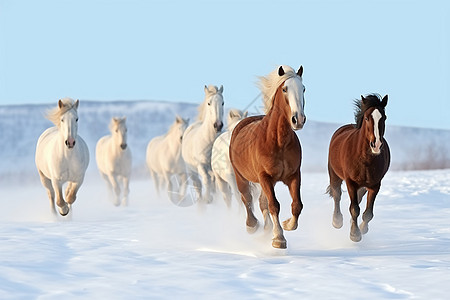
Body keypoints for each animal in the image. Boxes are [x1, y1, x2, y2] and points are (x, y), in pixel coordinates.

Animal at [230, 65, 308, 248]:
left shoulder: (294, 176)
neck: (278, 141)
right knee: (247, 198)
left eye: (303, 89)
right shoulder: (264, 177)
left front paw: (287, 224)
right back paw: (252, 225)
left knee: (261, 202)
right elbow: (274, 205)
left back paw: (266, 228)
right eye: (285, 89)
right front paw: (279, 238)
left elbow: (297, 205)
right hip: (241, 177)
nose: (298, 119)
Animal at [326, 95, 390, 243]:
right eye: (367, 118)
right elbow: (354, 208)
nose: (376, 145)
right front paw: (355, 234)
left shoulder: (374, 185)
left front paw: (362, 229)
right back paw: (337, 221)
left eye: (384, 117)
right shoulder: (351, 183)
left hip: (363, 186)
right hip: (334, 174)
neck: (365, 159)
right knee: (337, 194)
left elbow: (368, 213)